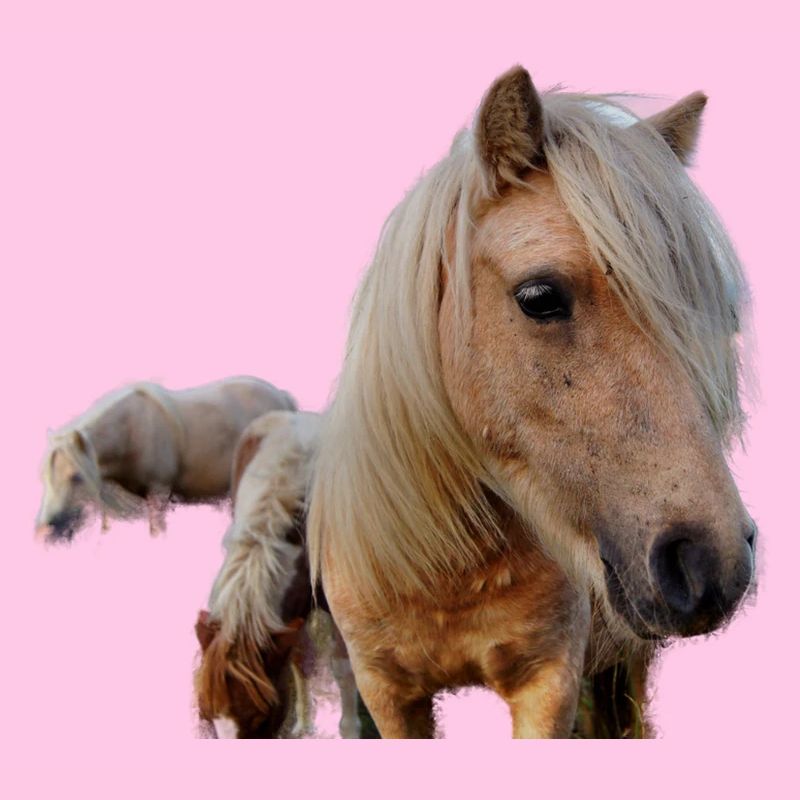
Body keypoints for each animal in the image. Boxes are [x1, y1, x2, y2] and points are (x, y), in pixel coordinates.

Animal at [35, 376, 296, 541]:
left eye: (76, 477)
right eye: (45, 478)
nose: (43, 532)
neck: (131, 431)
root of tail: (283, 398)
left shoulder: (158, 493)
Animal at [194, 410, 361, 738]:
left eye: (261, 717)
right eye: (208, 717)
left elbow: (343, 666)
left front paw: (351, 729)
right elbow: (298, 658)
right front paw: (302, 724)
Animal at [307, 66, 755, 738]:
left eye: (723, 316)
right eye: (539, 297)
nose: (712, 564)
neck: (449, 573)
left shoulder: (548, 684)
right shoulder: (387, 693)